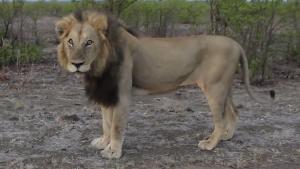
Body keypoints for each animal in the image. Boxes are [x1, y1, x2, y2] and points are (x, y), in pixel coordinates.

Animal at [55, 10, 270, 158]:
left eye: (89, 42)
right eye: (70, 42)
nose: (76, 64)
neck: (99, 64)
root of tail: (236, 43)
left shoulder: (122, 96)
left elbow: (116, 126)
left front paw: (113, 152)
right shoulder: (108, 94)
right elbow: (106, 123)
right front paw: (103, 142)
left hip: (215, 89)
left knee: (220, 120)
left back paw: (210, 144)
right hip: (226, 87)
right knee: (233, 112)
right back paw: (227, 136)